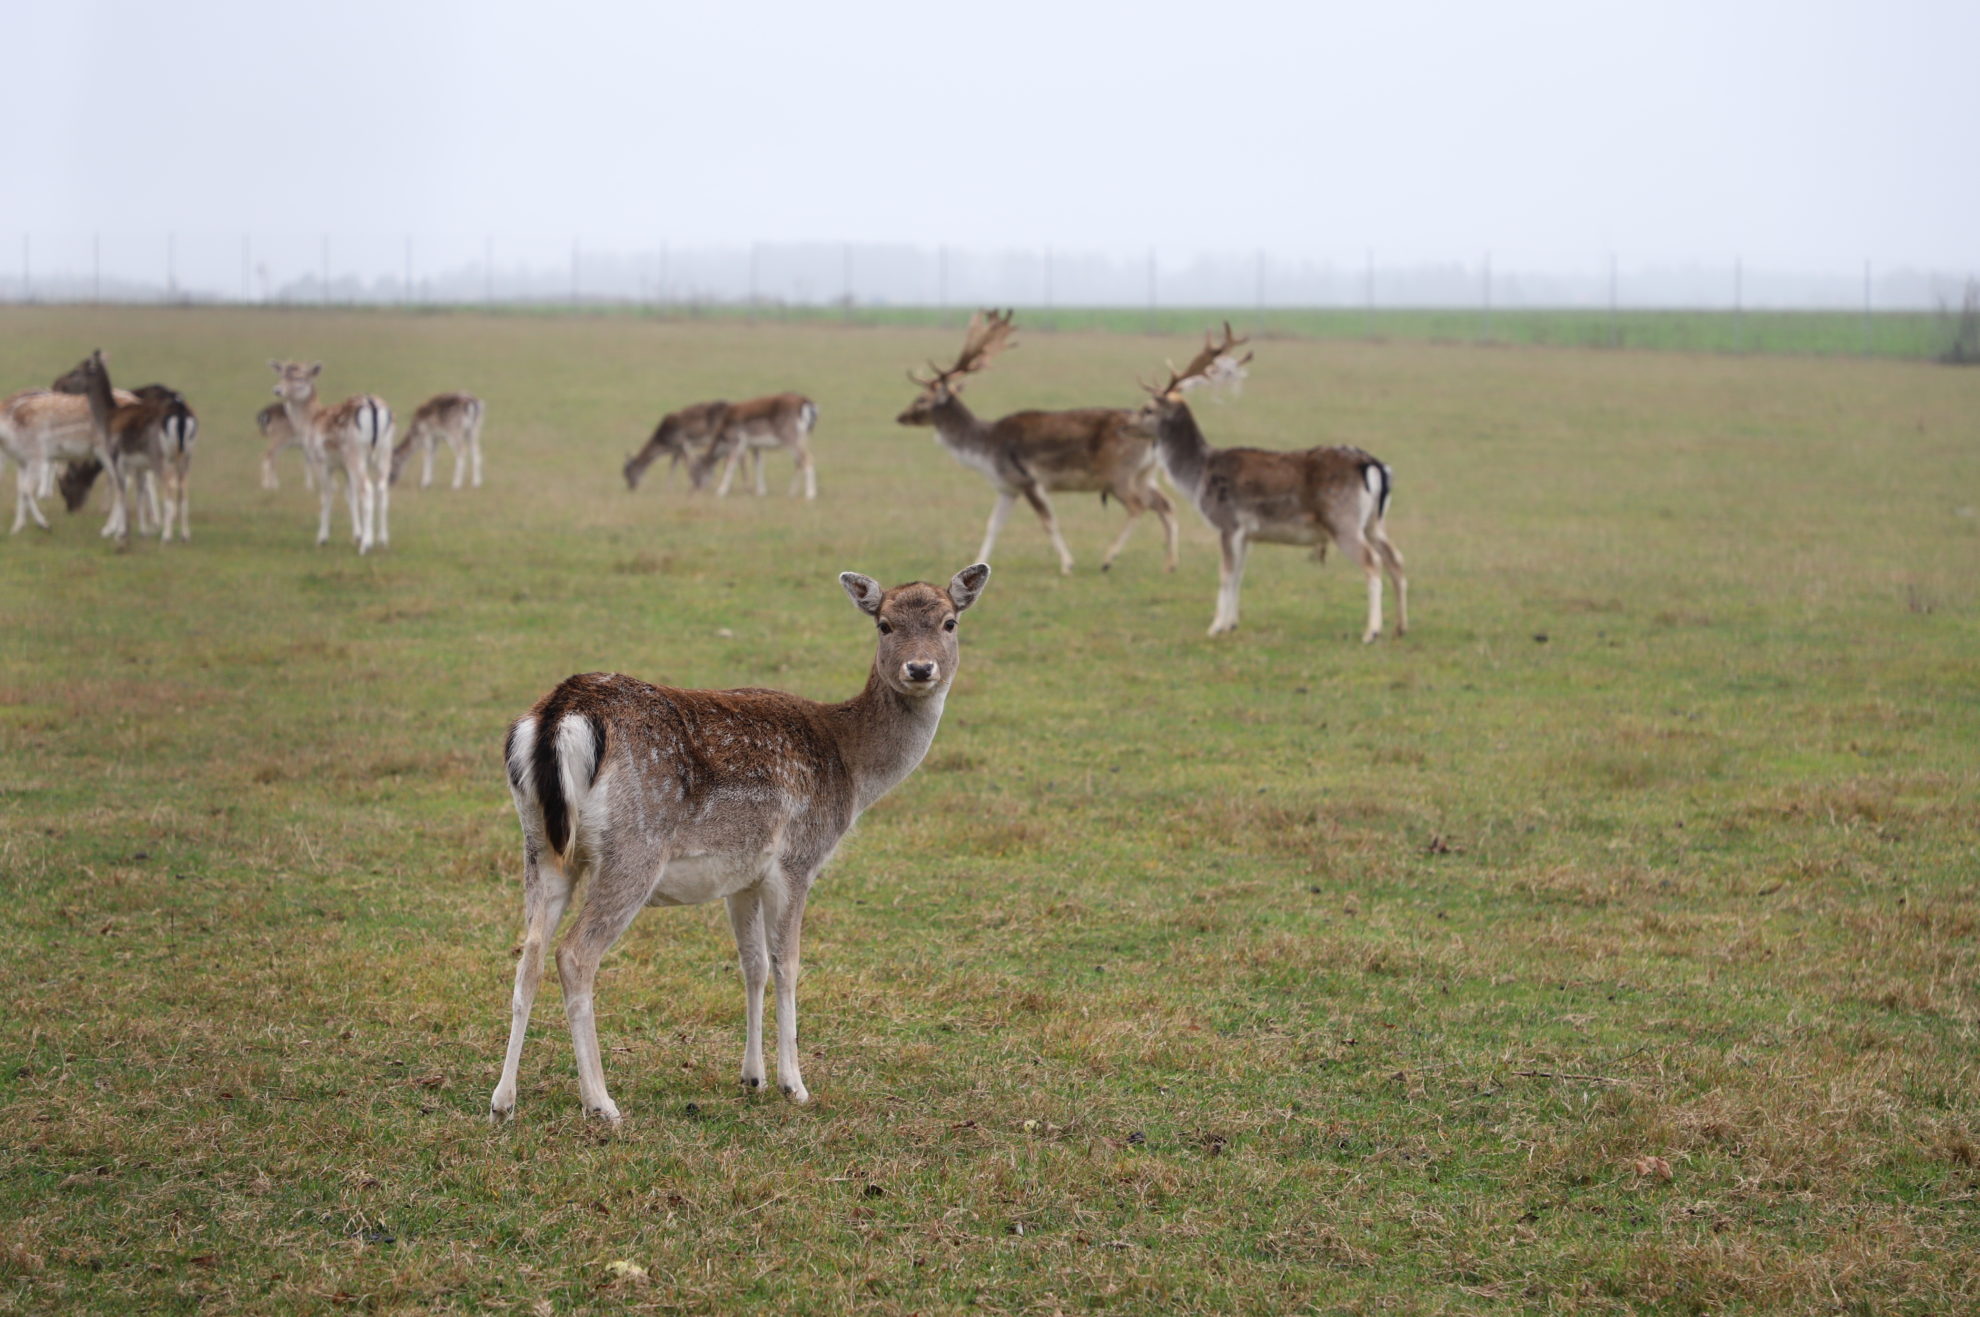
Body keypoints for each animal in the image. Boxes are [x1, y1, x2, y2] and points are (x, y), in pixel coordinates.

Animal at [269, 356, 396, 550]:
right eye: (281, 374)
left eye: (299, 378)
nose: (277, 389)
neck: (310, 422)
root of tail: (372, 405)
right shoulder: (343, 467)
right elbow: (350, 495)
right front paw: (357, 534)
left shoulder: (321, 460)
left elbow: (327, 494)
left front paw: (322, 538)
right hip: (385, 452)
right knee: (382, 487)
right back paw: (382, 540)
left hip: (356, 454)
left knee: (367, 489)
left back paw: (366, 545)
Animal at [495, 558, 990, 1124]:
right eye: (884, 624)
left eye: (949, 622)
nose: (921, 669)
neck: (852, 769)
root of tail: (561, 712)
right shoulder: (797, 859)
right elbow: (787, 965)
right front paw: (793, 1083)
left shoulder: (741, 877)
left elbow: (753, 965)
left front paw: (752, 1076)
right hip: (633, 851)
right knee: (575, 956)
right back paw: (601, 1102)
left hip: (540, 846)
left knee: (529, 953)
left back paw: (503, 1100)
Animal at [898, 312, 1172, 574]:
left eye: (921, 399)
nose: (900, 416)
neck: (984, 451)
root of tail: (1155, 436)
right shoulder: (1007, 488)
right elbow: (993, 525)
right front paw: (977, 562)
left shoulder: (1028, 480)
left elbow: (1048, 522)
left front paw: (1067, 564)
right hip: (1145, 474)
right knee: (1164, 504)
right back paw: (1170, 564)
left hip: (1118, 474)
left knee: (1138, 506)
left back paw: (1108, 559)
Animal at [1132, 322, 1409, 641]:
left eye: (1148, 409)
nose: (1127, 423)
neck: (1198, 476)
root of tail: (1372, 465)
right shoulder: (1247, 533)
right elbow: (1238, 575)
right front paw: (1231, 624)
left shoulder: (1228, 523)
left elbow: (1225, 574)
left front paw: (1214, 627)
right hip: (1374, 522)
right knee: (1396, 560)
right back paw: (1401, 627)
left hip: (1343, 520)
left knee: (1371, 562)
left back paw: (1371, 632)